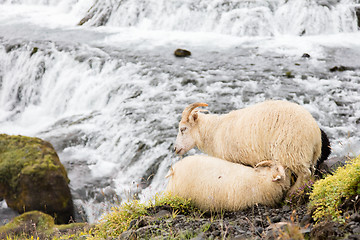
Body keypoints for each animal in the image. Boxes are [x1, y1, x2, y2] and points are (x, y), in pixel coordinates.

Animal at [174, 100, 330, 194]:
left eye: (183, 129)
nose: (175, 149)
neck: (213, 132)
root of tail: (314, 132)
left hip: (292, 151)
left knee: (305, 174)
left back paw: (291, 194)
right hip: (307, 155)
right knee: (310, 174)